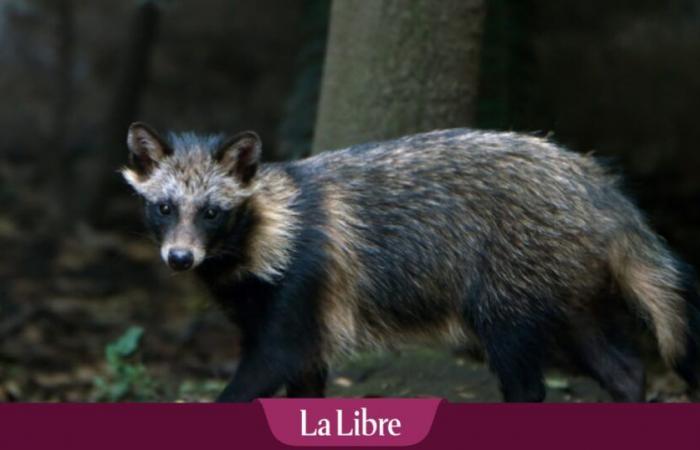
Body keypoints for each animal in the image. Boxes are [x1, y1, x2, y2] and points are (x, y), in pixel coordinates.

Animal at [123, 122, 696, 400]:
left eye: (212, 212)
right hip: (565, 283)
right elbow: (303, 383)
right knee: (620, 368)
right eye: (165, 207)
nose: (180, 258)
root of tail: (597, 185)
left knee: (525, 381)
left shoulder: (301, 290)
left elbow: (264, 368)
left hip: (510, 280)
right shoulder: (287, 317)